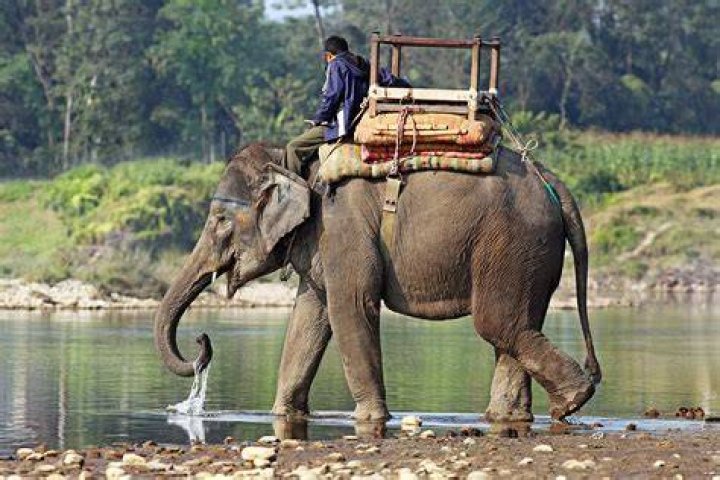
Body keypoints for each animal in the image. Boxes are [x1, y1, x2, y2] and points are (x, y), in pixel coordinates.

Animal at [154, 143, 601, 424]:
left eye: (220, 221)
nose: (202, 340)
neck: (294, 163)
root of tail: (551, 180)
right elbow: (311, 316)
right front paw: (283, 414)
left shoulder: (341, 227)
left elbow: (350, 306)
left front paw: (369, 419)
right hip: (529, 253)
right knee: (515, 326)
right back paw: (510, 416)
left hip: (514, 241)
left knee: (498, 324)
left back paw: (569, 404)